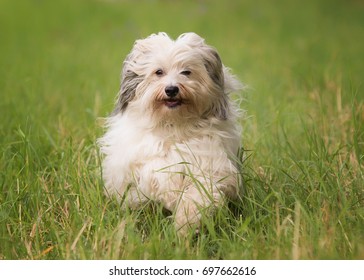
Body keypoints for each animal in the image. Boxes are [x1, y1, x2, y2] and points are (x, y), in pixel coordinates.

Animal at [98, 31, 243, 235]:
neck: (174, 125)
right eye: (159, 72)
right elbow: (157, 175)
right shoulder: (142, 160)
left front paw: (184, 225)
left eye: (187, 72)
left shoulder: (209, 165)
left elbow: (197, 195)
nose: (172, 89)